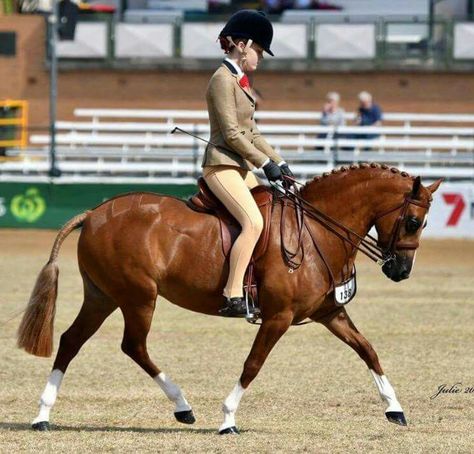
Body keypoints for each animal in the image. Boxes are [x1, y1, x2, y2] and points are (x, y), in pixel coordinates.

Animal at [17, 163, 440, 432]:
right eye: (413, 221)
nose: (401, 270)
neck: (314, 230)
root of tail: (93, 213)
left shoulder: (329, 312)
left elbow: (367, 350)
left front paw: (395, 409)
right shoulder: (278, 317)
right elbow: (252, 365)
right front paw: (227, 418)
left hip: (103, 296)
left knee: (71, 341)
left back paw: (43, 415)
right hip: (138, 297)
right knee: (133, 346)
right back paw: (183, 406)